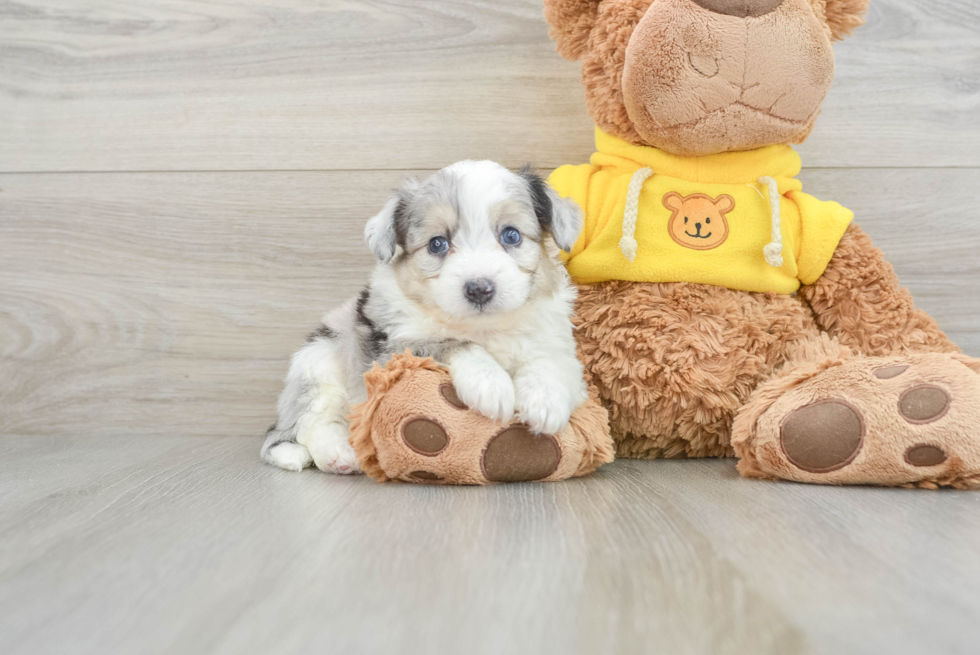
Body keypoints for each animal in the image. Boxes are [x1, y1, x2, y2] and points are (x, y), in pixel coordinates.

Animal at [260, 161, 584, 474]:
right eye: (437, 244)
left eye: (511, 235)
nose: (479, 289)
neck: (483, 327)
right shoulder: (394, 349)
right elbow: (454, 343)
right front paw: (490, 384)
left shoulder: (557, 344)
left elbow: (548, 362)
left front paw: (545, 402)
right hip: (319, 362)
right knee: (311, 423)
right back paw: (337, 454)